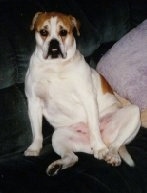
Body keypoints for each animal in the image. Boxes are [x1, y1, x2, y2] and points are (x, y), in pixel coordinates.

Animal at [24, 11, 141, 176]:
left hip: (133, 112)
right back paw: (56, 166)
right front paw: (34, 148)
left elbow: (93, 126)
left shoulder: (88, 98)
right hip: (58, 137)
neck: (55, 66)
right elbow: (37, 131)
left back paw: (109, 154)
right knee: (72, 157)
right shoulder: (33, 101)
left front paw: (99, 148)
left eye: (63, 32)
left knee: (115, 145)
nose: (54, 43)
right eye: (43, 32)